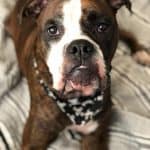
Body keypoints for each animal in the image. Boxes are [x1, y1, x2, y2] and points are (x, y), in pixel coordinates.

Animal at [4, 0, 149, 149]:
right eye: (52, 30)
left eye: (102, 27)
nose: (79, 47)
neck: (76, 101)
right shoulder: (35, 137)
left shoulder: (94, 136)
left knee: (127, 33)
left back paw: (141, 53)